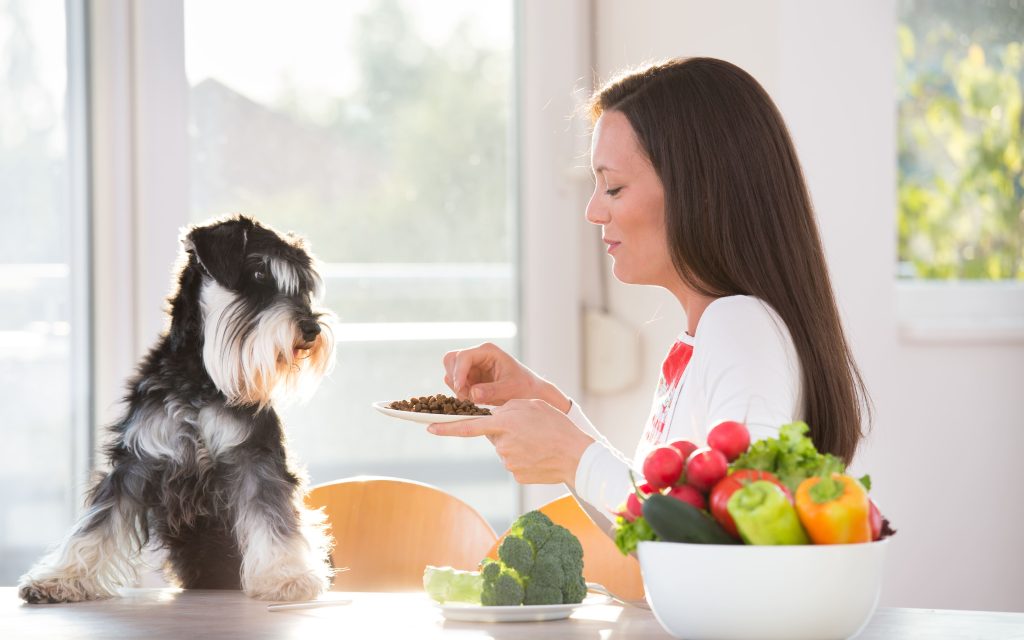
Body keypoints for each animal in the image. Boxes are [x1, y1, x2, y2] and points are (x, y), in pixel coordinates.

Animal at [17, 217, 335, 602]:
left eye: (302, 286)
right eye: (259, 273)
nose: (311, 328)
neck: (198, 378)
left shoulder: (254, 455)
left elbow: (274, 516)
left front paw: (287, 576)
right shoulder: (136, 459)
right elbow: (97, 522)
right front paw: (60, 579)